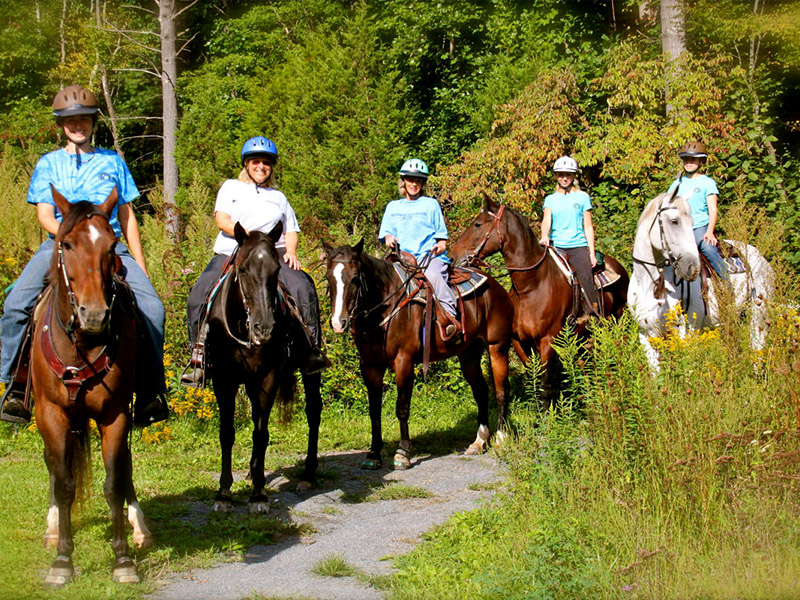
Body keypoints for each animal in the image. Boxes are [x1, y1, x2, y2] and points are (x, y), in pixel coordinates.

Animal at [30, 186, 152, 584]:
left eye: (112, 246)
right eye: (66, 244)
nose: (95, 315)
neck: (81, 344)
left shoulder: (115, 414)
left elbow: (114, 482)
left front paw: (124, 559)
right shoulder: (51, 414)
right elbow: (64, 483)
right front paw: (62, 561)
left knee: (124, 469)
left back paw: (140, 527)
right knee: (54, 468)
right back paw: (53, 529)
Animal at [205, 220, 324, 510]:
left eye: (276, 269)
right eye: (243, 269)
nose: (264, 327)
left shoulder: (267, 378)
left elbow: (261, 433)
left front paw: (258, 494)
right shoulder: (223, 380)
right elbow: (227, 433)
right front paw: (224, 493)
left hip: (309, 370)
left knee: (313, 411)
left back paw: (308, 474)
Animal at [324, 241, 516, 472]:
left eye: (355, 278)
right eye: (328, 277)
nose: (338, 323)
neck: (384, 307)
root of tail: (497, 287)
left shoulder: (403, 361)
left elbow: (402, 409)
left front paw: (403, 453)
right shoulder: (370, 366)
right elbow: (374, 410)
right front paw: (374, 453)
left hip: (497, 348)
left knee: (501, 391)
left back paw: (501, 438)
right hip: (468, 354)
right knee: (480, 391)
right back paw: (479, 442)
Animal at [450, 193, 632, 408]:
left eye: (478, 224)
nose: (452, 256)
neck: (531, 287)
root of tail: (619, 267)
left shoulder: (547, 342)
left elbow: (545, 385)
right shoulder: (519, 342)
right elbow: (533, 377)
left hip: (620, 321)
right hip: (584, 335)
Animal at [628, 192, 772, 370]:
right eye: (674, 221)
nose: (692, 267)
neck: (649, 285)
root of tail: (760, 257)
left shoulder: (686, 332)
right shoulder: (646, 334)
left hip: (759, 314)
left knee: (757, 347)